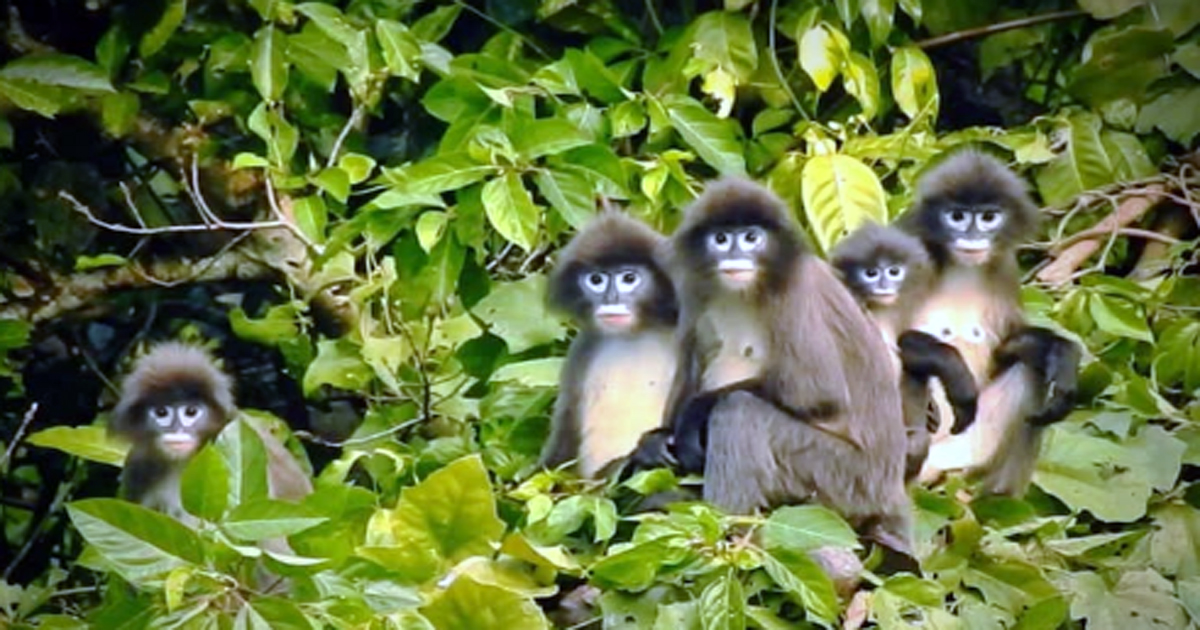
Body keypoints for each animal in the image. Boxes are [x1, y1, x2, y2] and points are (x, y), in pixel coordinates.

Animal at [540, 211, 680, 479]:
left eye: (629, 278)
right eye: (596, 280)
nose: (610, 299)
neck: (635, 333)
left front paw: (652, 447)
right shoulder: (582, 349)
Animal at [657, 177, 913, 556]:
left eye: (751, 237)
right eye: (722, 238)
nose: (736, 255)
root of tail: (892, 490)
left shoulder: (795, 293)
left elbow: (817, 394)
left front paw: (692, 414)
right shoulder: (696, 290)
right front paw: (652, 443)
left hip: (842, 479)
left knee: (738, 410)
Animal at [895, 150, 1081, 495]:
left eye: (988, 217)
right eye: (956, 216)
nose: (972, 237)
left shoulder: (1004, 266)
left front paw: (1058, 351)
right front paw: (949, 365)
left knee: (1030, 369)